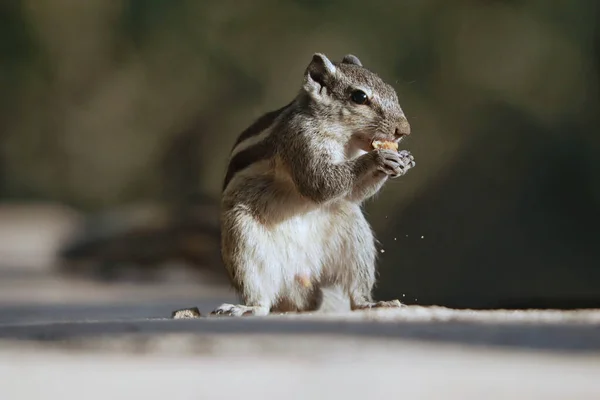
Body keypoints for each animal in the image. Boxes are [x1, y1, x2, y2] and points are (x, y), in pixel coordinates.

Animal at [212, 53, 418, 318]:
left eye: (392, 91)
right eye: (359, 97)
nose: (404, 130)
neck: (345, 138)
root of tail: (299, 276)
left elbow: (352, 194)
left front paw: (404, 161)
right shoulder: (299, 140)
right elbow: (318, 183)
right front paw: (378, 159)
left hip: (355, 241)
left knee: (356, 293)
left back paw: (372, 303)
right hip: (243, 244)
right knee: (262, 299)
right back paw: (246, 308)